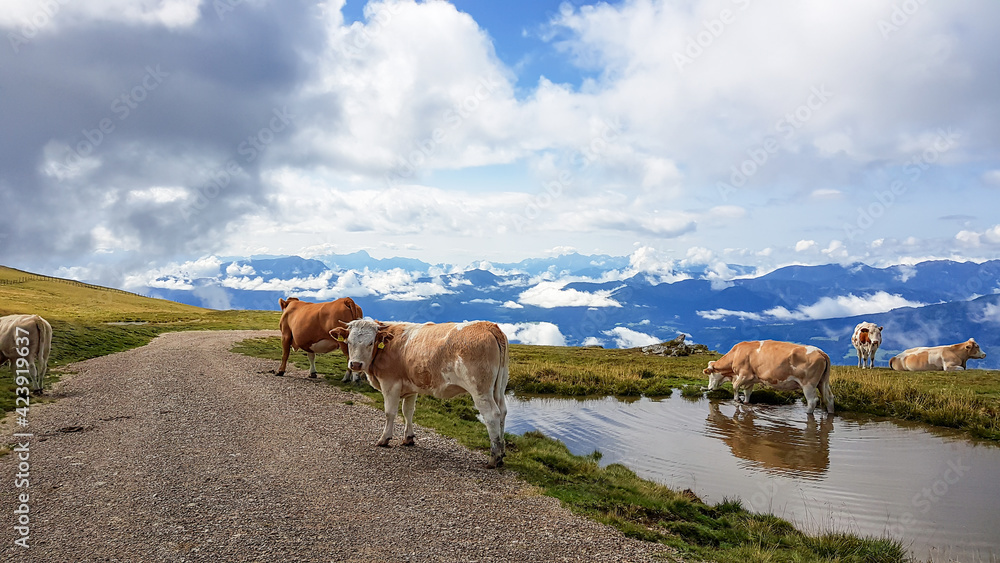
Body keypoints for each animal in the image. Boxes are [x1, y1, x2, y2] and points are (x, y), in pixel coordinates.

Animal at [330, 319, 509, 468]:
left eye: (371, 342)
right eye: (349, 342)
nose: (355, 364)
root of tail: (488, 325)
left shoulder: (390, 384)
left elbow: (390, 413)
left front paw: (384, 439)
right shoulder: (410, 388)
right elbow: (408, 412)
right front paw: (408, 438)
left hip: (480, 390)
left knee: (492, 416)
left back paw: (494, 458)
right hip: (499, 388)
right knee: (502, 412)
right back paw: (502, 454)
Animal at [704, 340, 834, 415]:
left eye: (710, 374)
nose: (709, 388)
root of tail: (820, 351)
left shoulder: (744, 374)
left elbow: (735, 386)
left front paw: (737, 399)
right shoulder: (751, 379)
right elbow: (747, 392)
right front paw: (745, 402)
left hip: (808, 384)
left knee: (812, 401)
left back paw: (808, 414)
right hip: (823, 382)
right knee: (829, 398)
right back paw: (830, 413)